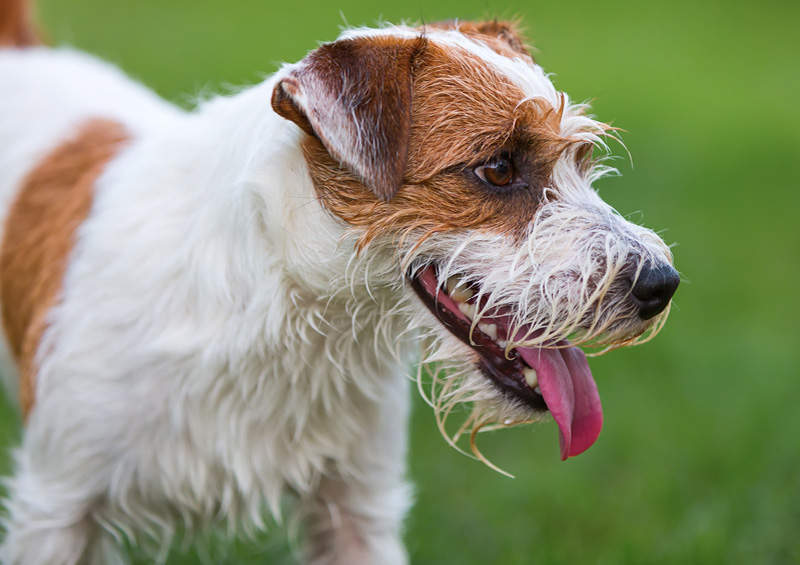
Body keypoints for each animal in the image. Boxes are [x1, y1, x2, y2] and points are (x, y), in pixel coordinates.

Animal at [0, 2, 680, 560]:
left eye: (581, 161)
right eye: (497, 167)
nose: (661, 284)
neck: (285, 316)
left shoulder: (356, 507)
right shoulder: (60, 505)